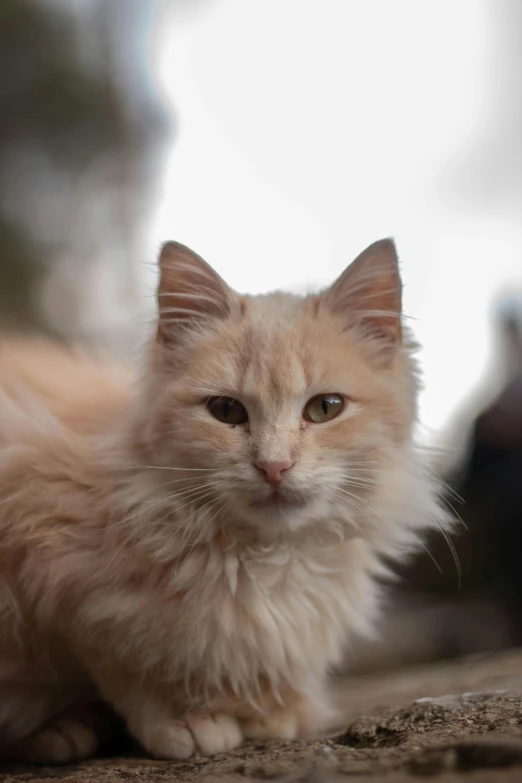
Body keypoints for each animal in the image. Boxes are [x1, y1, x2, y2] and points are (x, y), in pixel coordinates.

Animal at [0, 240, 446, 764]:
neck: (267, 558)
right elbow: (136, 664)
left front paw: (272, 713)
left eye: (325, 408)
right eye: (226, 411)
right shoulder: (53, 560)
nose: (274, 467)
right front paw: (190, 719)